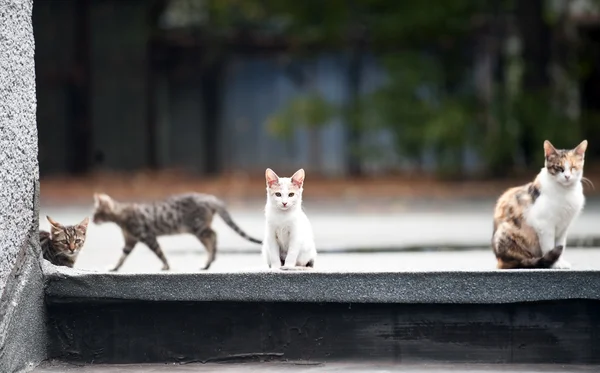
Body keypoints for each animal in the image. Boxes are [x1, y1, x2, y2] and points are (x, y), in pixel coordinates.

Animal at [92, 192, 262, 270]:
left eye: (95, 214)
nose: (92, 221)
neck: (121, 215)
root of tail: (210, 198)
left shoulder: (147, 236)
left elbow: (159, 253)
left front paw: (166, 266)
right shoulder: (130, 241)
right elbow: (122, 257)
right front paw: (114, 268)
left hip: (198, 228)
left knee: (214, 235)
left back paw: (209, 260)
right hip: (200, 229)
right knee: (212, 238)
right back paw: (209, 261)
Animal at [492, 139, 584, 268]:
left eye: (573, 167)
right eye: (558, 167)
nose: (567, 176)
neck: (566, 192)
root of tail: (500, 259)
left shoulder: (563, 227)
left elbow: (560, 245)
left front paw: (560, 262)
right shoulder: (544, 225)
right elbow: (549, 246)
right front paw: (555, 264)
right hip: (507, 232)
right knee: (520, 261)